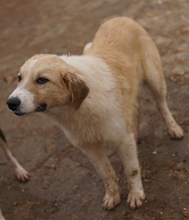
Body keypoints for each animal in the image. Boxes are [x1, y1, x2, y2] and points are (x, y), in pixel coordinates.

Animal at [7, 16, 183, 210]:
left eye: (42, 80)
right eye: (19, 78)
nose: (10, 103)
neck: (76, 109)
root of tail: (120, 17)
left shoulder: (122, 138)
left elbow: (131, 169)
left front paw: (136, 194)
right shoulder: (89, 147)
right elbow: (106, 173)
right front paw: (112, 195)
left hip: (155, 80)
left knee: (162, 105)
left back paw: (173, 128)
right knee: (135, 110)